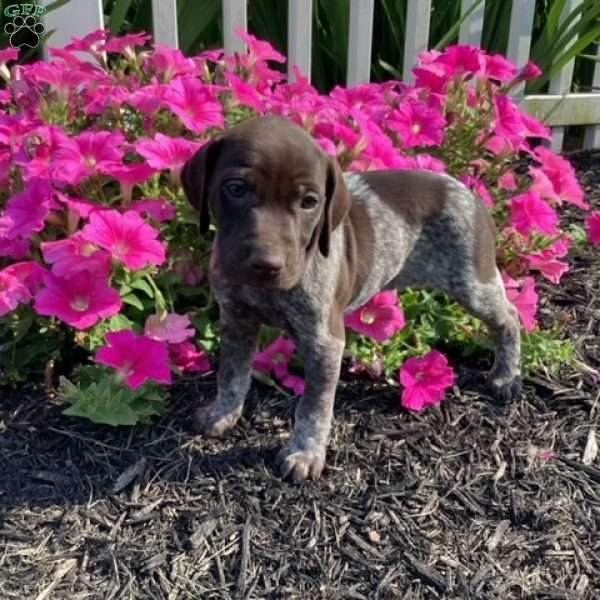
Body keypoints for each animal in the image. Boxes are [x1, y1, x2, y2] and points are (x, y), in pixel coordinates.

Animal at [182, 116, 520, 482]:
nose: (267, 265)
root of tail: (468, 192)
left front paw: (305, 454)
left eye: (309, 202)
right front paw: (221, 414)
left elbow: (314, 407)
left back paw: (506, 376)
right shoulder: (236, 320)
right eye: (236, 189)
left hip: (473, 283)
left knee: (510, 317)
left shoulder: (324, 341)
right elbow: (231, 375)